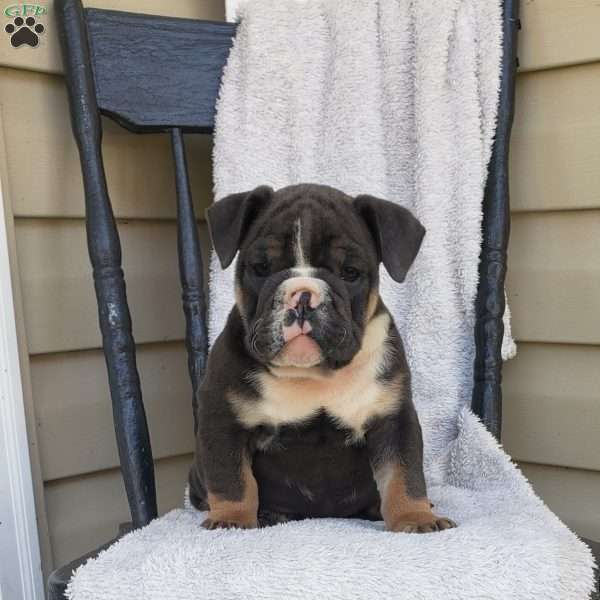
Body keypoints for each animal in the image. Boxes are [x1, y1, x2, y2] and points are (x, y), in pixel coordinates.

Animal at [190, 184, 458, 536]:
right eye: (261, 268)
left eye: (350, 273)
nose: (304, 296)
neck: (314, 375)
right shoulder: (223, 420)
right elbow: (231, 479)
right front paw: (232, 520)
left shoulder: (393, 420)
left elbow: (404, 476)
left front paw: (415, 517)